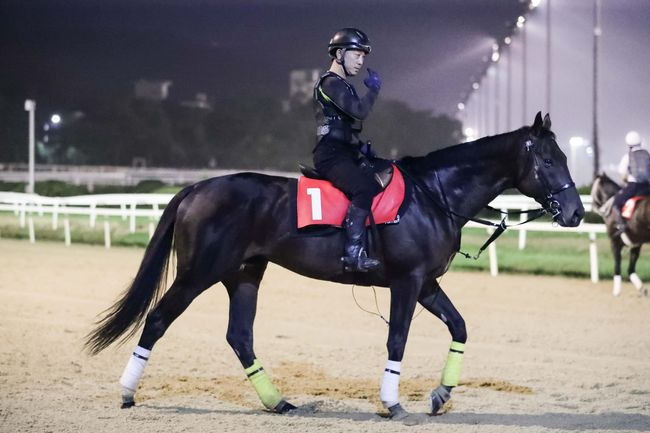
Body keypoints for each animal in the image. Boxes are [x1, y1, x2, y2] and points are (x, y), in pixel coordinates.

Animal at [85, 113, 584, 416]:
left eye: (563, 156)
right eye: (547, 158)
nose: (577, 213)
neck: (433, 196)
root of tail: (196, 188)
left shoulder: (426, 284)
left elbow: (459, 327)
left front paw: (441, 394)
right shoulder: (406, 283)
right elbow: (397, 339)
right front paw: (392, 403)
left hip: (244, 274)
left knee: (240, 336)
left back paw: (277, 401)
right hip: (197, 274)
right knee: (158, 319)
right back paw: (127, 392)